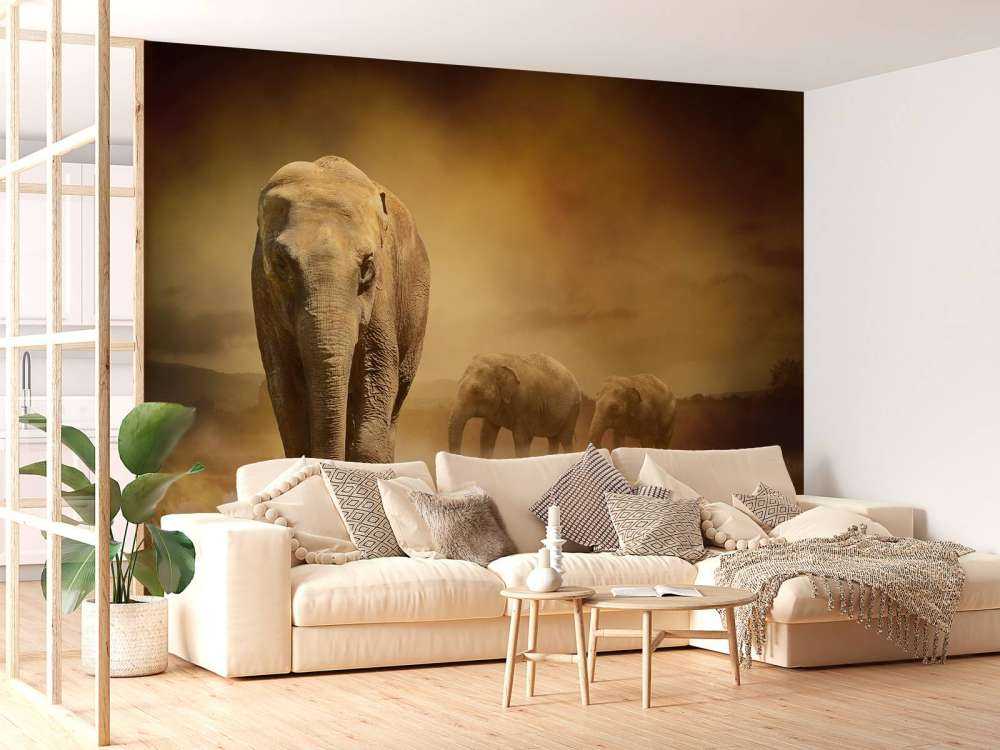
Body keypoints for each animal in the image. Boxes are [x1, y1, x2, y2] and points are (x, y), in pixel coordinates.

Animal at [252, 156, 430, 462]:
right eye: (282, 265)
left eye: (367, 266)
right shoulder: (262, 291)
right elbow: (284, 379)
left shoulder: (382, 290)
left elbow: (378, 371)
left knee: (398, 393)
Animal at [448, 353, 582, 458]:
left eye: (476, 390)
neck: (500, 360)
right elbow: (486, 435)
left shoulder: (525, 405)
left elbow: (521, 439)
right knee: (553, 439)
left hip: (573, 410)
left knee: (566, 439)